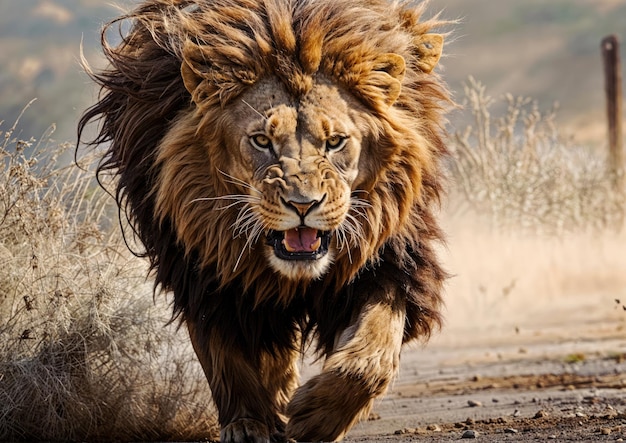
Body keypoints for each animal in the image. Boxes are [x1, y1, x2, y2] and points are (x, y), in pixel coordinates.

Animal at [77, 0, 448, 440]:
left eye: (335, 142)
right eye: (261, 141)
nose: (303, 204)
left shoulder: (388, 261)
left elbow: (372, 355)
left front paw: (318, 418)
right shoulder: (204, 272)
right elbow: (225, 357)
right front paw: (248, 423)